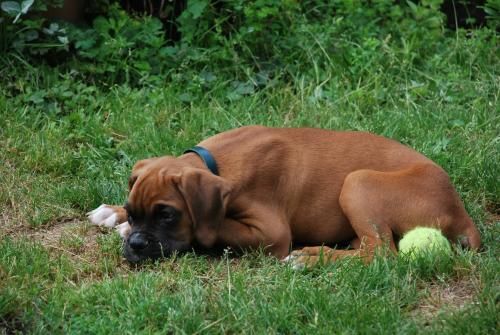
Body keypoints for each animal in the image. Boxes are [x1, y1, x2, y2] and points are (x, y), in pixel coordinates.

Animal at [87, 126, 480, 268]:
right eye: (134, 212)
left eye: (167, 215)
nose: (136, 245)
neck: (216, 162)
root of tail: (462, 212)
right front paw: (113, 214)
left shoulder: (270, 233)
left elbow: (212, 229)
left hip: (357, 182)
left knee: (382, 253)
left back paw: (309, 258)